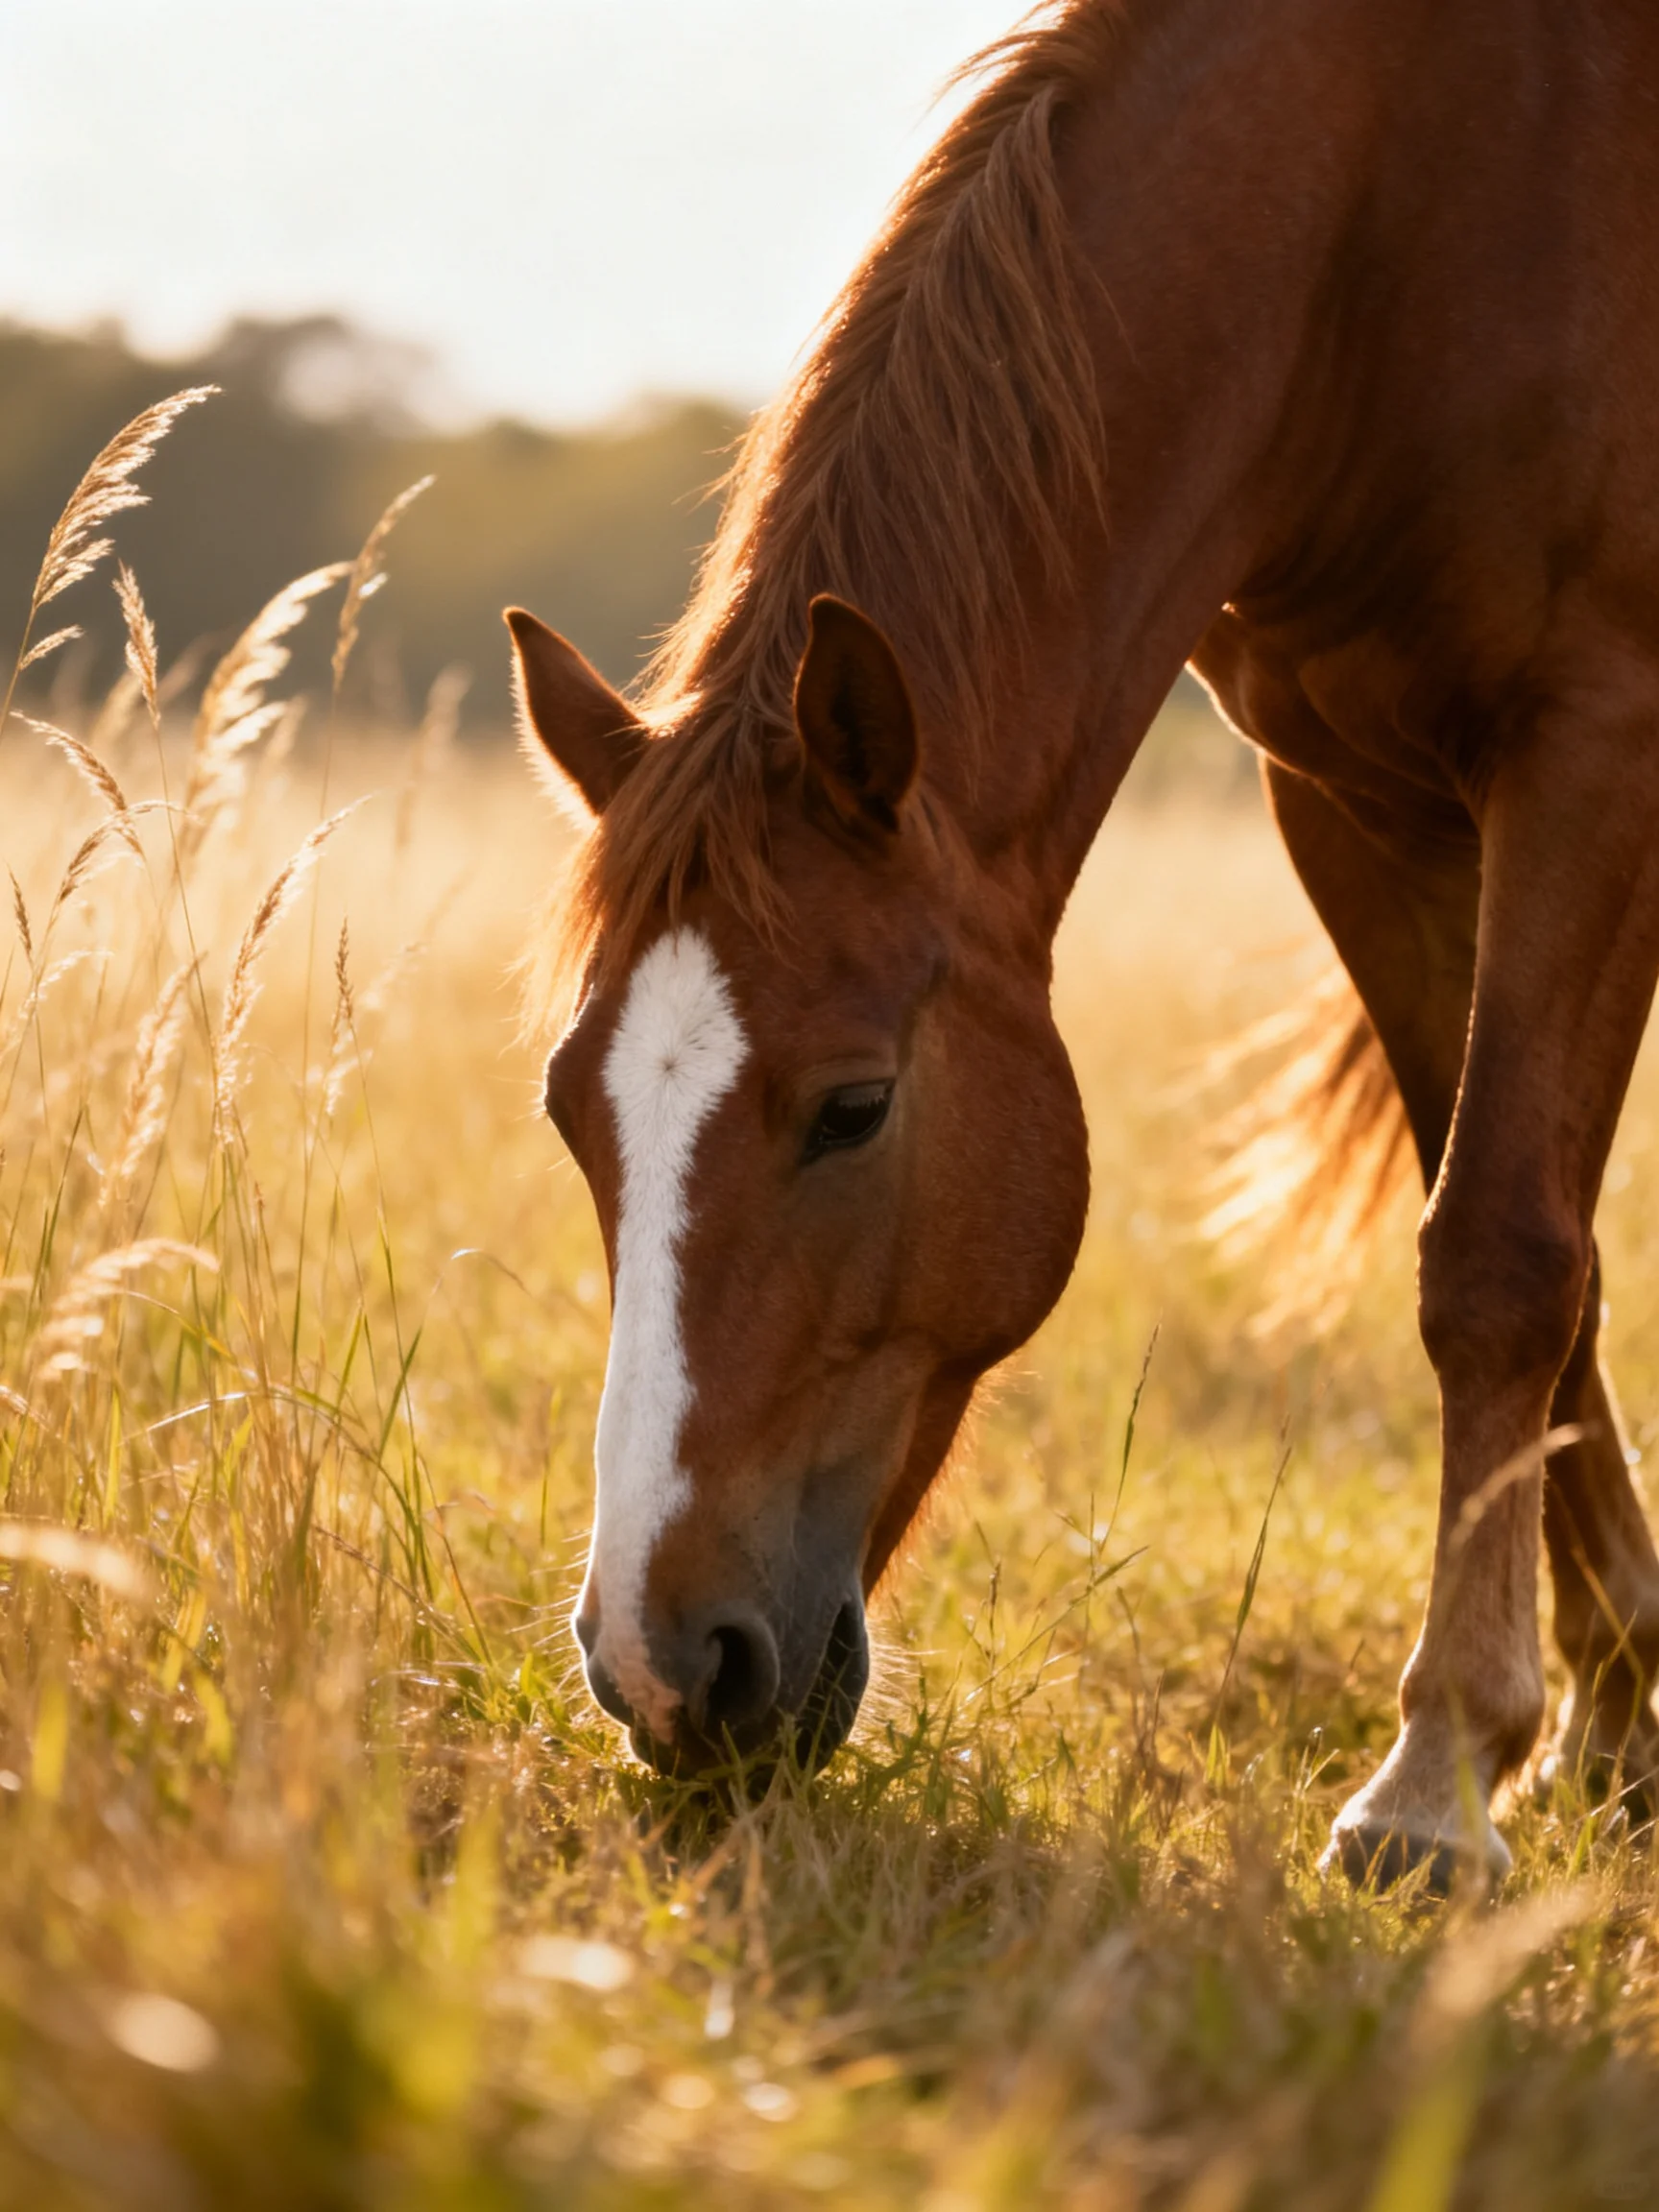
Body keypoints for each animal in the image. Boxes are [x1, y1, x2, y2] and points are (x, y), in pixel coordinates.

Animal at [504, 0, 1659, 1885]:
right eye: (571, 1115)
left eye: (853, 1108)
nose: (660, 1672)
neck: (1405, 194)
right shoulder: (1354, 801)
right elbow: (1537, 1251)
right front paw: (1610, 1707)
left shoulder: (1595, 747)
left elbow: (1498, 1253)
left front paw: (1434, 1777)